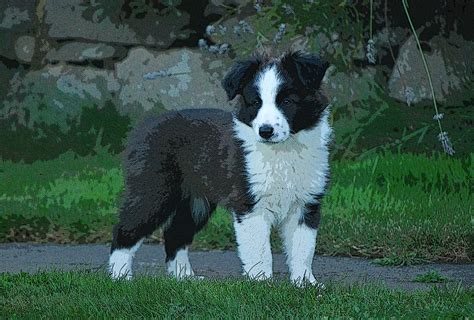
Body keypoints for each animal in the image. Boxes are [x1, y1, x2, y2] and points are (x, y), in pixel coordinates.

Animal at [108, 50, 330, 284]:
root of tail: (145, 124)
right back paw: (119, 277)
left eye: (287, 101)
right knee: (125, 228)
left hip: (196, 203)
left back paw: (185, 278)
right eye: (256, 102)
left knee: (174, 234)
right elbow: (260, 251)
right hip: (155, 190)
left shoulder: (306, 204)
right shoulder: (250, 205)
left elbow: (303, 249)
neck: (284, 152)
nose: (265, 131)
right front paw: (261, 284)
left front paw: (305, 284)